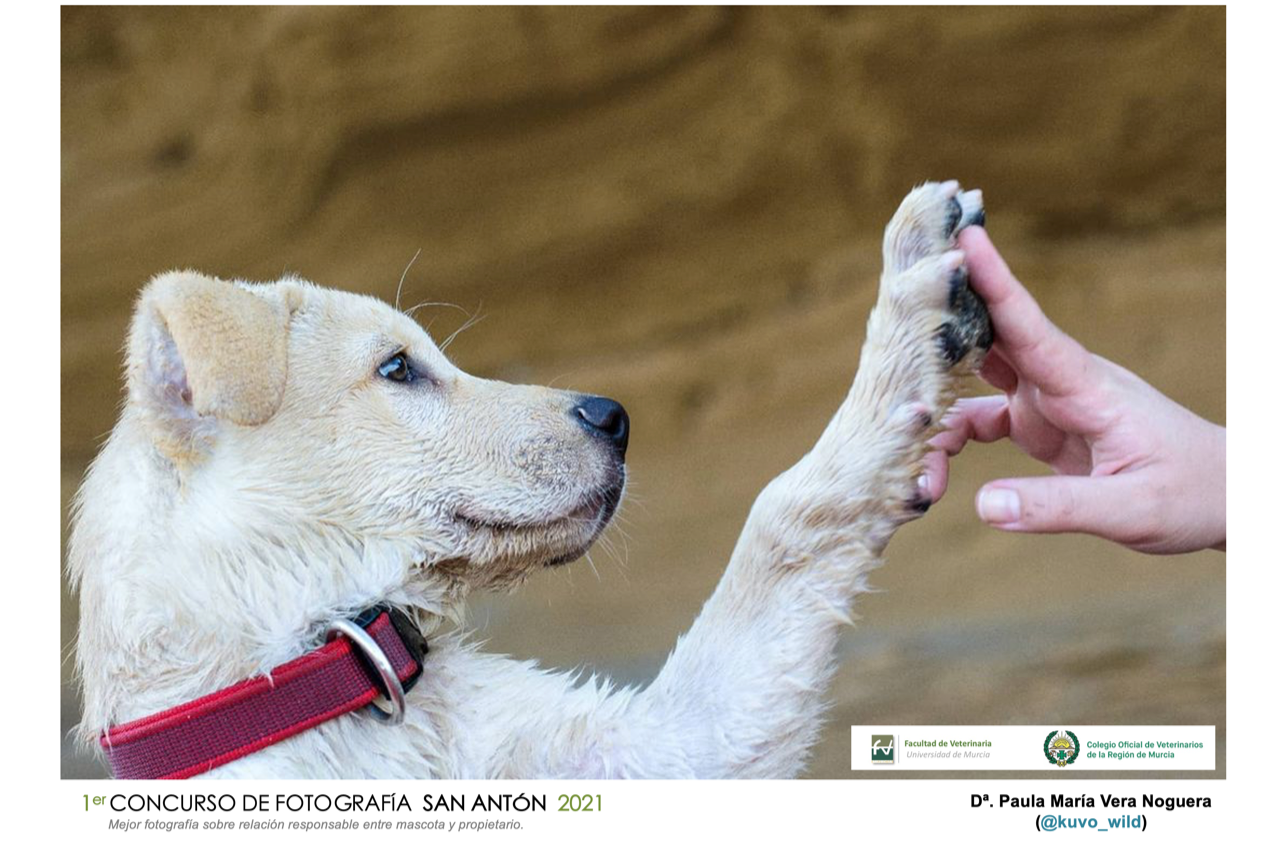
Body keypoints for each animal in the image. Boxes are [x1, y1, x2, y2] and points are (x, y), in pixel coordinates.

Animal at [67, 181, 988, 778]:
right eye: (397, 367)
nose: (617, 416)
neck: (308, 669)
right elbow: (785, 513)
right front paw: (916, 296)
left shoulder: (659, 748)